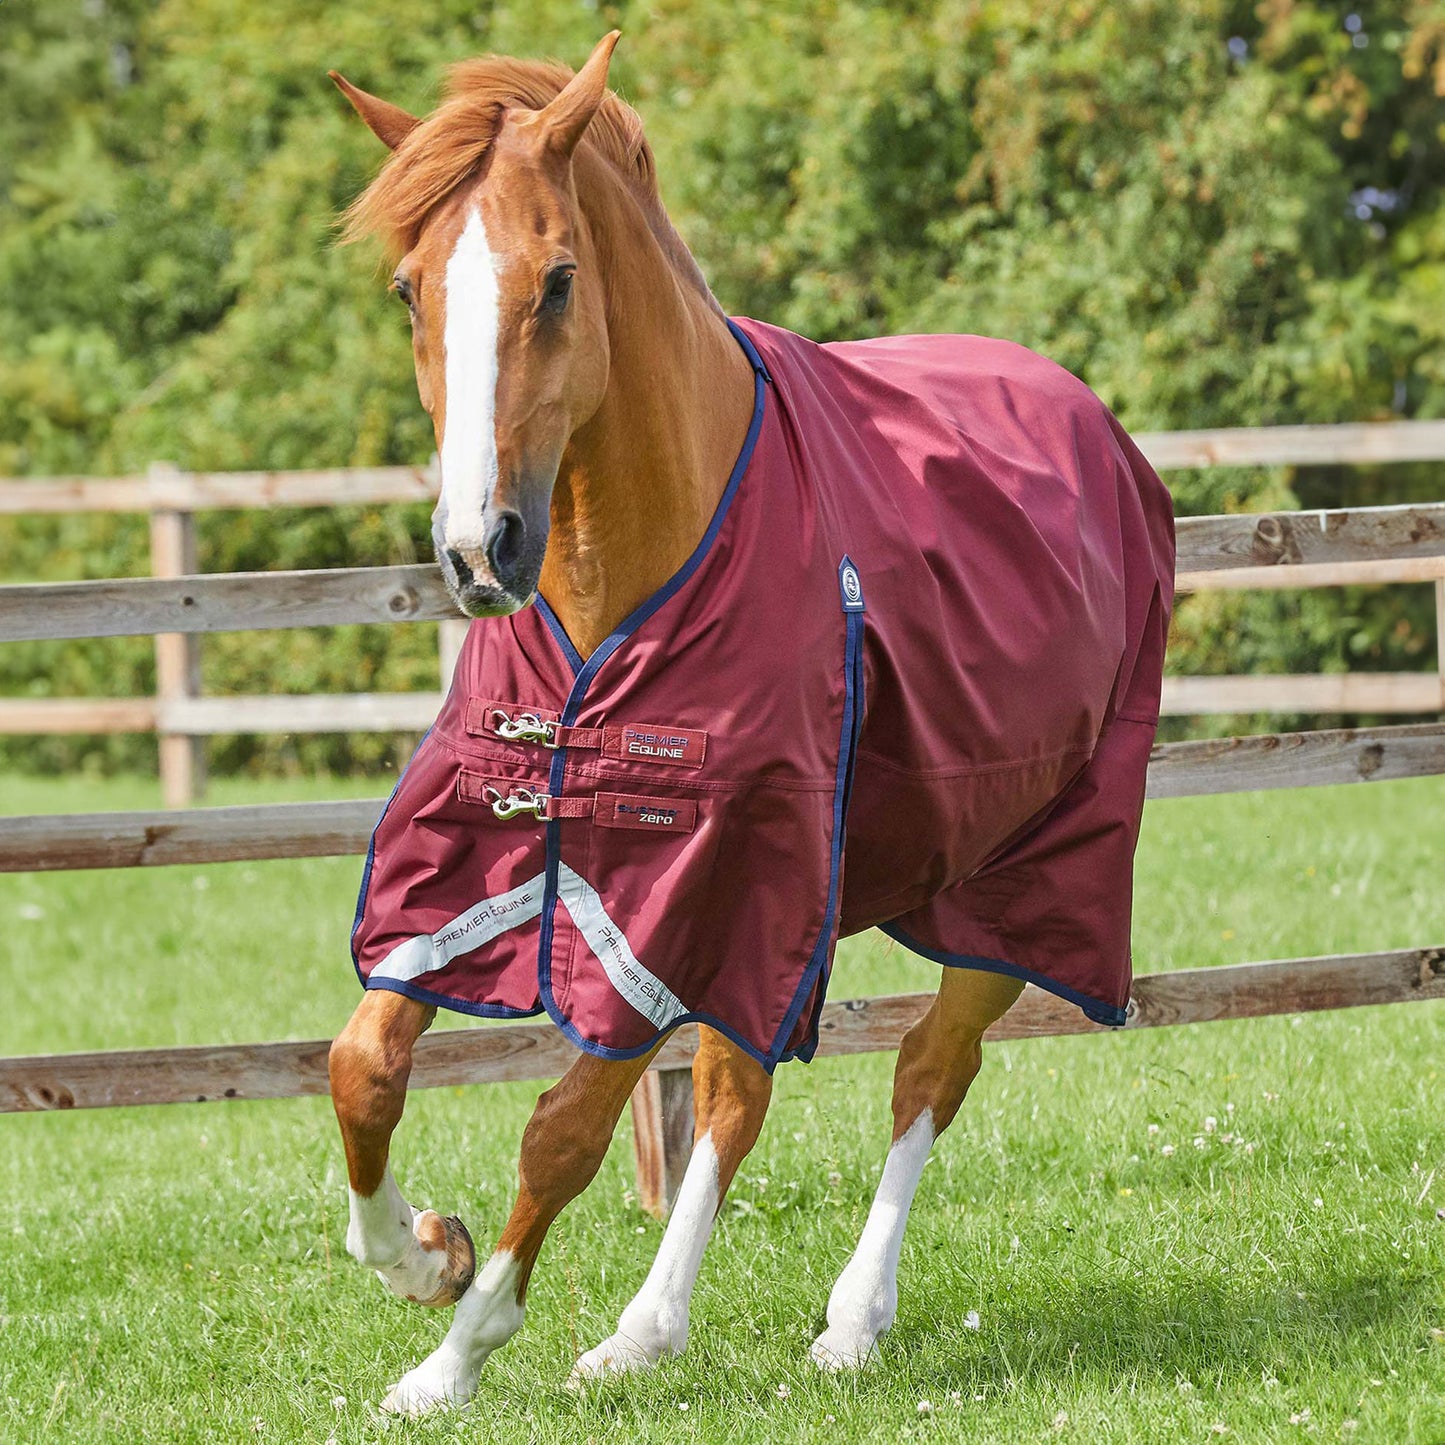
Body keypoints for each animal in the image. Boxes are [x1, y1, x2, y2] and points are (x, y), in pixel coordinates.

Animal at [327, 32, 1174, 1416]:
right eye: (408, 289)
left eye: (557, 278)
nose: (476, 552)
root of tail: (1090, 422)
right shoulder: (494, 865)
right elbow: (365, 1064)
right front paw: (425, 1256)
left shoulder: (686, 893)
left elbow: (562, 1128)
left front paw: (451, 1355)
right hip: (796, 907)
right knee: (738, 1087)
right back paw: (645, 1328)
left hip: (1014, 879)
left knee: (925, 1072)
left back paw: (848, 1321)